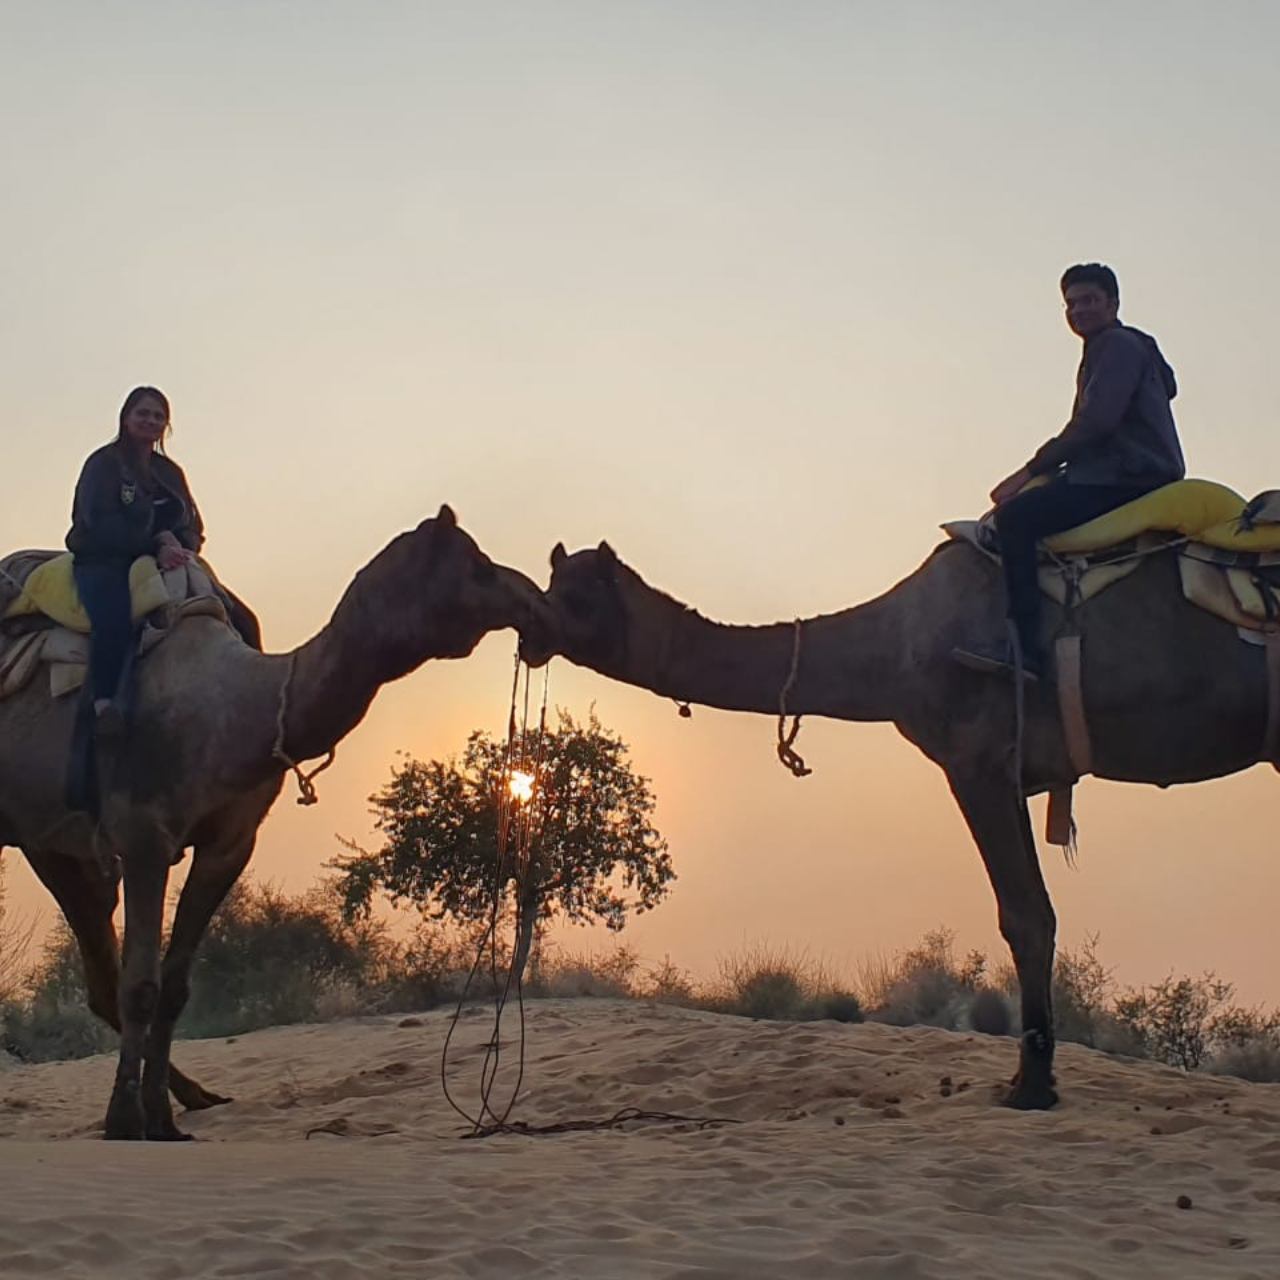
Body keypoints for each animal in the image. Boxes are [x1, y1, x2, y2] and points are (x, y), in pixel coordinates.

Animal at [0, 505, 551, 1139]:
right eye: (477, 566)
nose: (535, 601)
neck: (239, 711)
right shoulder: (143, 837)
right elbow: (141, 985)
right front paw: (124, 1121)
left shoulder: (230, 844)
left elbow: (175, 987)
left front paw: (162, 1119)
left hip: (53, 842)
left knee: (97, 972)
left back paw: (196, 1095)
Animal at [523, 535, 1272, 1108]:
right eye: (551, 581)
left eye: (580, 598)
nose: (528, 630)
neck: (895, 647)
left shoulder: (977, 759)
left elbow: (1025, 915)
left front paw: (1030, 1086)